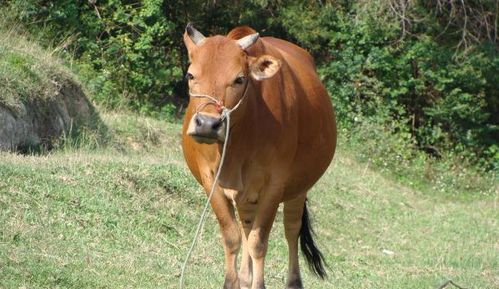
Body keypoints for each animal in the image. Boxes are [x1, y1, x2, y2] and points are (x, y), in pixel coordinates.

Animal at [182, 23, 338, 288]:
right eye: (191, 76)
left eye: (239, 79)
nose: (207, 124)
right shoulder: (210, 180)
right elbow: (232, 237)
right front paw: (232, 282)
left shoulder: (275, 185)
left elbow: (259, 242)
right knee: (246, 226)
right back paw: (245, 278)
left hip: (299, 189)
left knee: (291, 229)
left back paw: (292, 281)